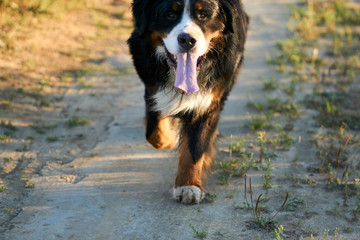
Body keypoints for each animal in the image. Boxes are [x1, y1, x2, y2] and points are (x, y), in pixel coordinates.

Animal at [128, 0, 249, 204]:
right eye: (170, 14)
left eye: (203, 15)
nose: (187, 40)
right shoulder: (151, 86)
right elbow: (154, 132)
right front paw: (170, 138)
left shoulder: (207, 103)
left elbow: (195, 147)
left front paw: (188, 186)